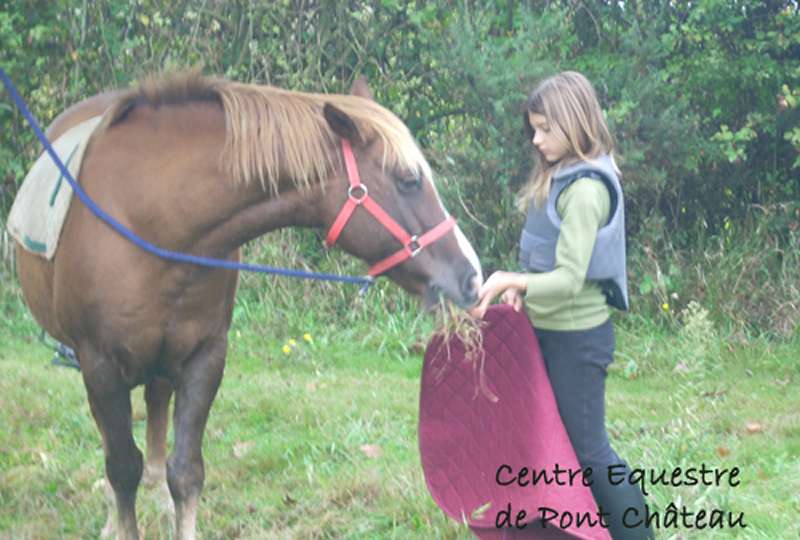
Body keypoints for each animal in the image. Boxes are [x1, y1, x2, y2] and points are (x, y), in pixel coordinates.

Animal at [14, 70, 483, 540]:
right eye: (408, 179)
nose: (471, 277)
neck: (154, 220)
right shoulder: (101, 365)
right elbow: (122, 468)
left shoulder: (204, 358)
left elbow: (186, 472)